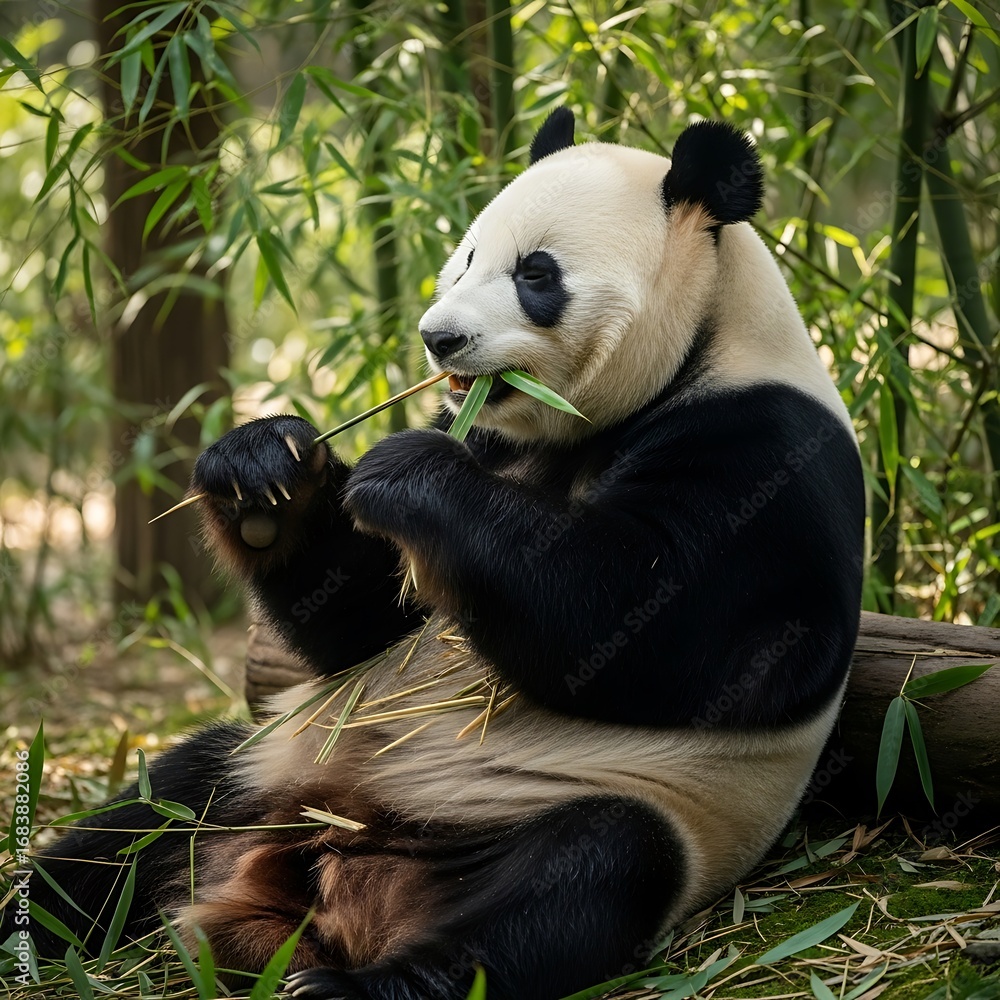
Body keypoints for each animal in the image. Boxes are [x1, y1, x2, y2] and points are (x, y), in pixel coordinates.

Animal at [13, 108, 864, 999]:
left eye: (535, 273)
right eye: (465, 258)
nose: (439, 338)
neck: (704, 340)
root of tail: (318, 878)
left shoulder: (763, 455)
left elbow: (653, 631)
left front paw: (407, 472)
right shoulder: (492, 435)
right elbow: (363, 626)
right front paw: (263, 470)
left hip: (577, 808)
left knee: (568, 885)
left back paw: (356, 986)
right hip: (255, 767)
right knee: (141, 817)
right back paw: (32, 925)